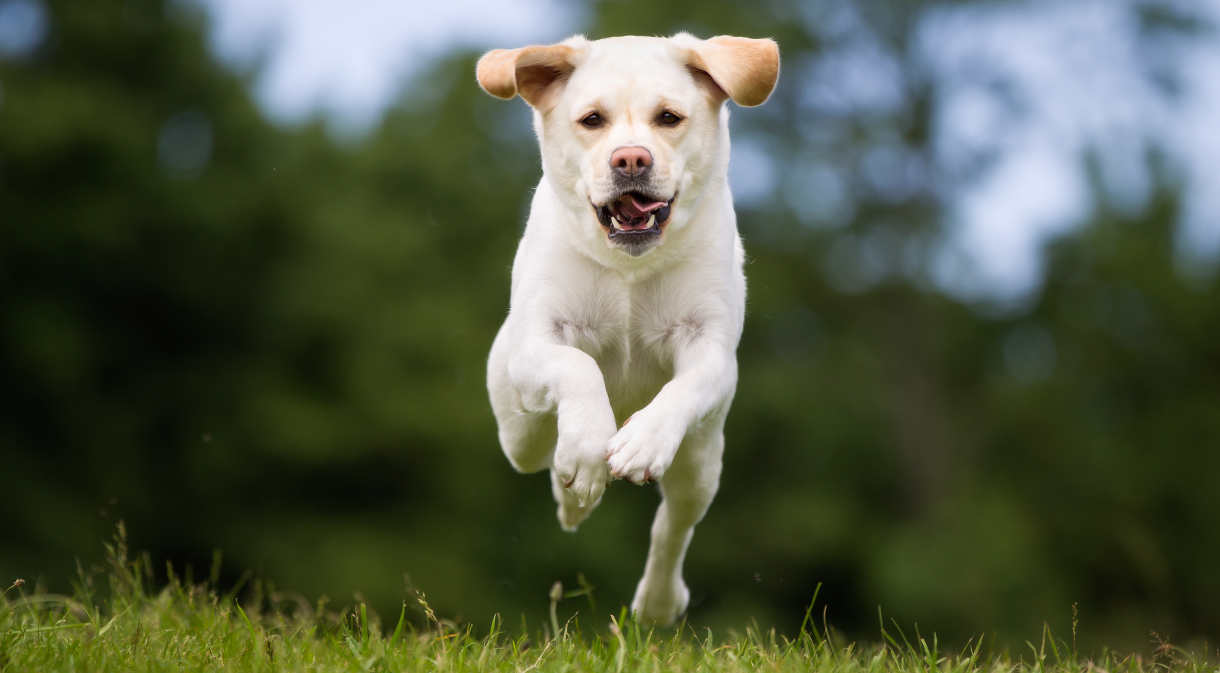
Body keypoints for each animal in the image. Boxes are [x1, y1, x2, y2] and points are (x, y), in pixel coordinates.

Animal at [475, 34, 780, 624]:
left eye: (669, 118)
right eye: (592, 120)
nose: (631, 158)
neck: (630, 265)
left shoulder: (711, 350)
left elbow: (686, 387)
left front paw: (641, 441)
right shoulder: (534, 344)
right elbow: (577, 365)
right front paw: (587, 450)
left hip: (702, 463)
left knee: (673, 527)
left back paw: (658, 602)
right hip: (514, 422)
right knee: (540, 447)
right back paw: (573, 482)